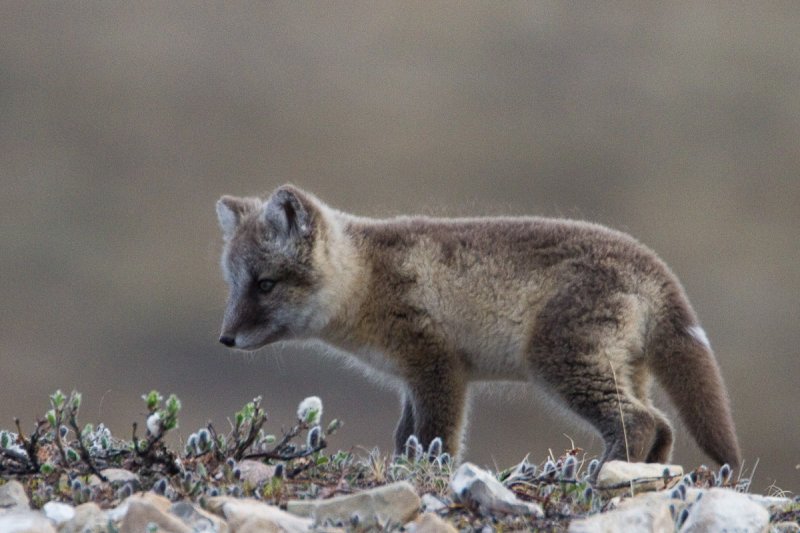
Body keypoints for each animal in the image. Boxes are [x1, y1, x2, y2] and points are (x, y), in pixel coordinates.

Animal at [216, 184, 740, 470]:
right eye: (234, 285)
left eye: (265, 284)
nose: (225, 339)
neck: (366, 278)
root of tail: (649, 261)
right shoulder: (413, 379)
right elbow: (405, 436)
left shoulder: (439, 367)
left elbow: (436, 439)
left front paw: (429, 476)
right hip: (625, 369)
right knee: (663, 427)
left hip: (562, 363)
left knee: (640, 421)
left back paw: (600, 475)